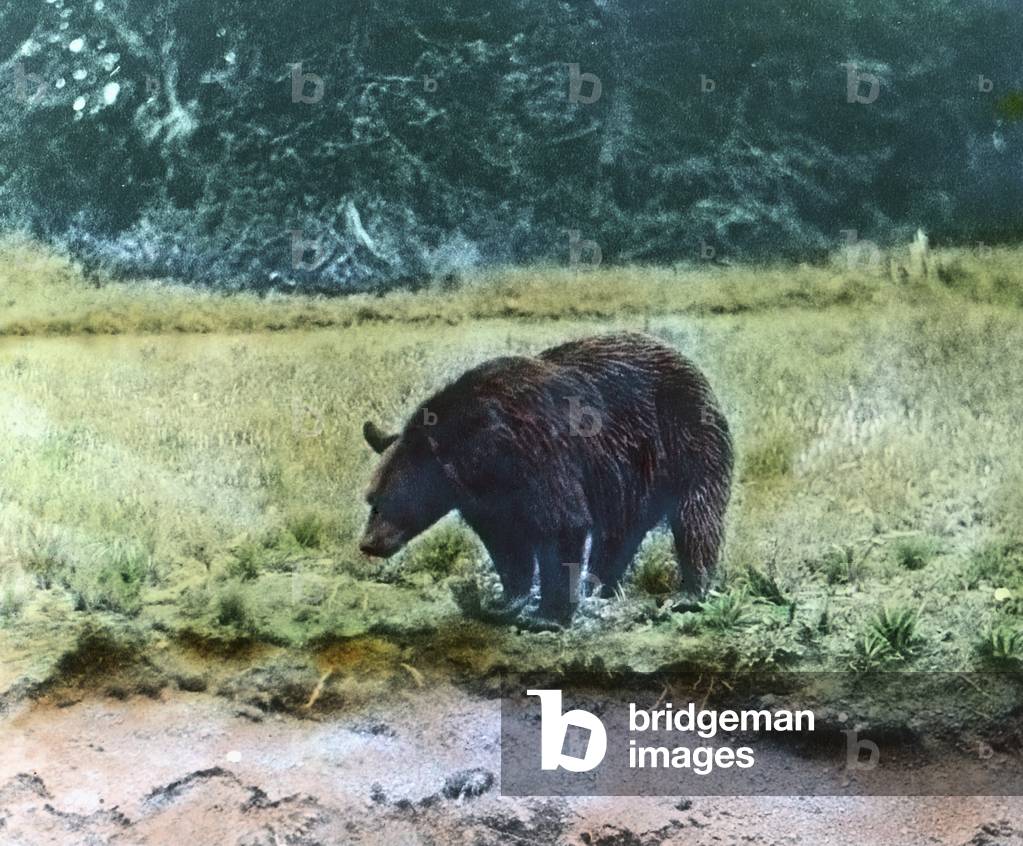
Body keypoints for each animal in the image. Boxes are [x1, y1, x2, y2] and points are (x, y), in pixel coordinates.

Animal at [359, 332, 733, 624]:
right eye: (370, 498)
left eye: (384, 500)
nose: (368, 543)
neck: (478, 452)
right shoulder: (486, 495)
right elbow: (505, 541)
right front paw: (507, 600)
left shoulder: (538, 451)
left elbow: (561, 522)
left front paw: (547, 616)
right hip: (630, 479)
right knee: (618, 534)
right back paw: (598, 587)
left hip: (683, 436)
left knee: (695, 514)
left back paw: (687, 593)